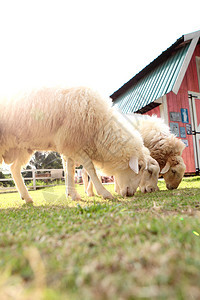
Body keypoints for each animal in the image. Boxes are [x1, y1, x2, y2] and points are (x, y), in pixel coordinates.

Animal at [0, 87, 158, 204]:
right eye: (140, 167)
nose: (130, 194)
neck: (100, 126)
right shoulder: (74, 143)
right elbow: (90, 168)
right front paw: (104, 193)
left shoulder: (70, 145)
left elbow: (69, 169)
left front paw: (72, 194)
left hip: (22, 148)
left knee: (14, 169)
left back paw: (27, 197)